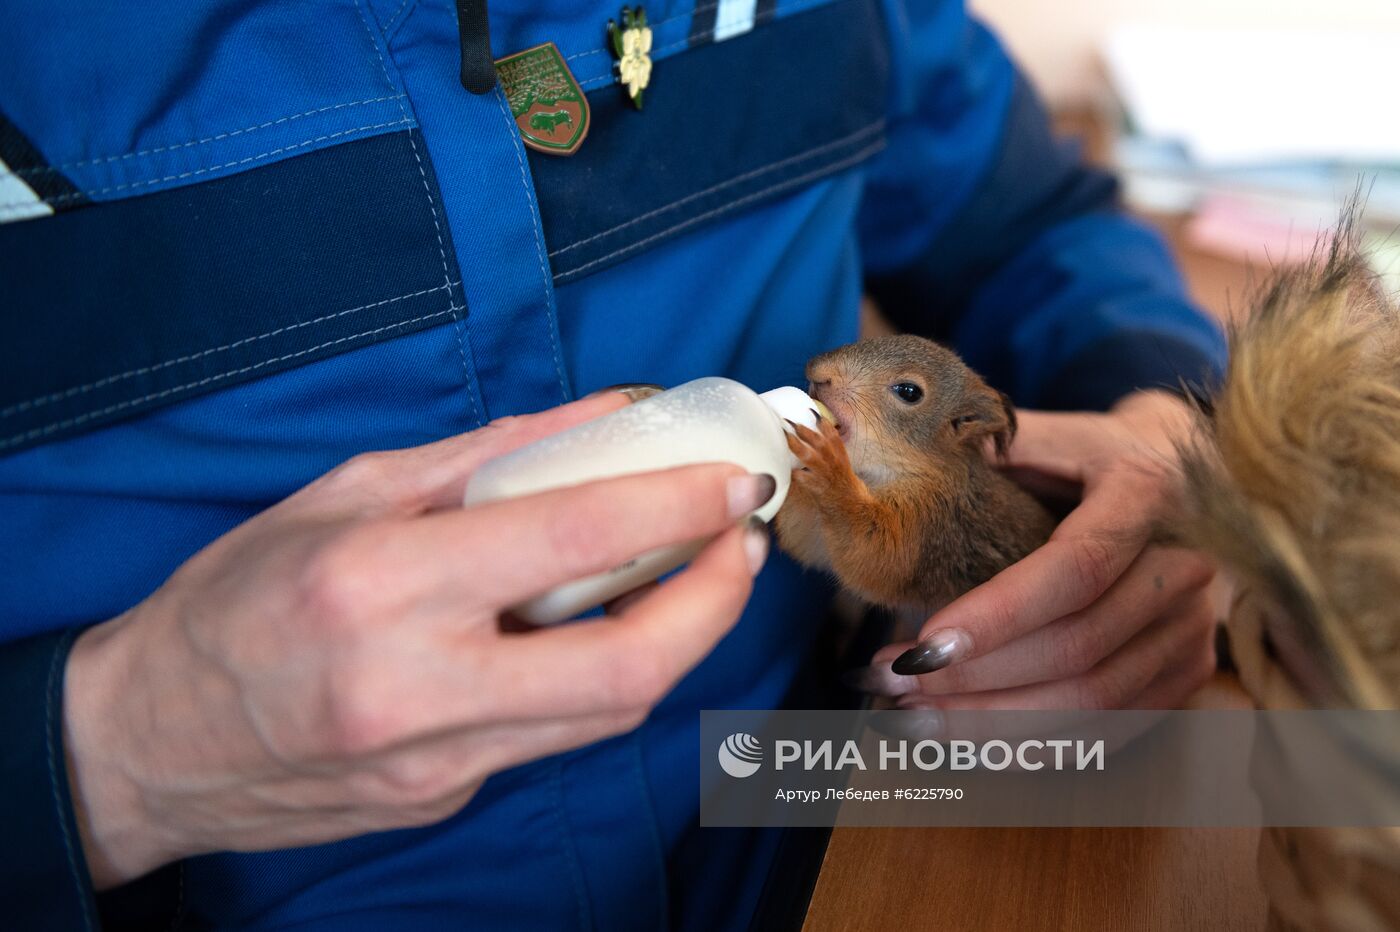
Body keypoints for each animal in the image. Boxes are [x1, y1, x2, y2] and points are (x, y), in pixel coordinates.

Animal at [772, 334, 1052, 610]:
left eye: (909, 392)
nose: (818, 372)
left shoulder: (932, 515)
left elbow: (880, 555)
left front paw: (831, 469)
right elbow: (806, 538)